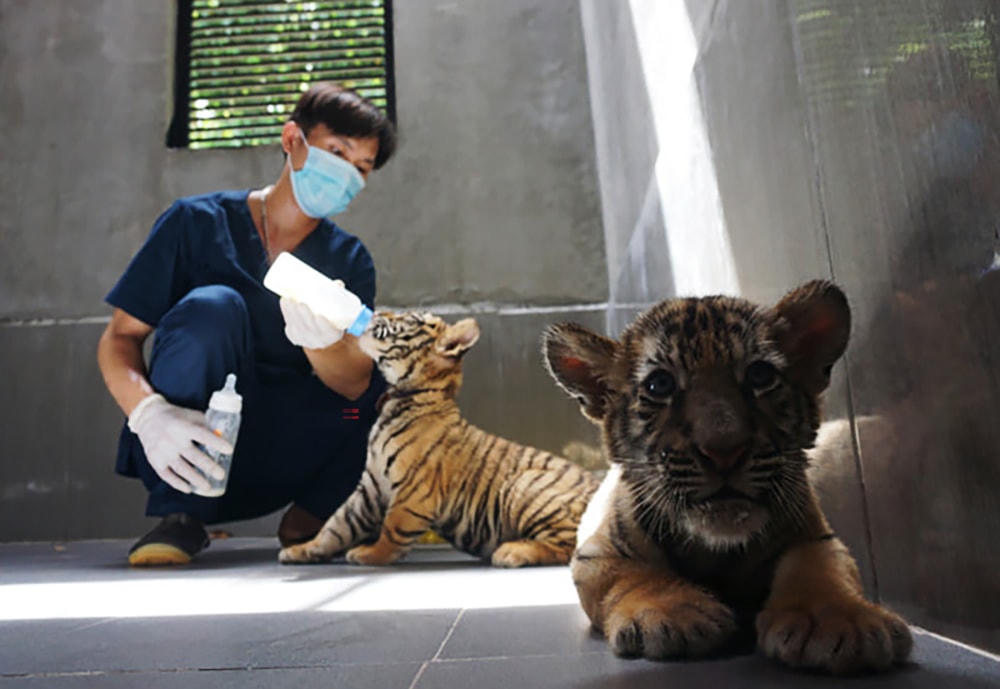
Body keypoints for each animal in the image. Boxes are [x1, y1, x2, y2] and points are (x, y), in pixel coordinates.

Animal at [279, 310, 601, 568]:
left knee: (573, 547)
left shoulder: (412, 490)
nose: (376, 312)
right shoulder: (369, 488)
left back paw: (512, 552)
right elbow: (336, 525)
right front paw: (301, 550)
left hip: (524, 485)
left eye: (408, 318)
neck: (404, 396)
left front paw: (370, 554)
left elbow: (392, 528)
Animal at [542, 280, 912, 674]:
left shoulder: (815, 536)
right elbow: (636, 575)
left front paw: (839, 621)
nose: (724, 450)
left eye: (760, 375)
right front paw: (675, 614)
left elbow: (820, 568)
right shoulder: (598, 554)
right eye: (659, 385)